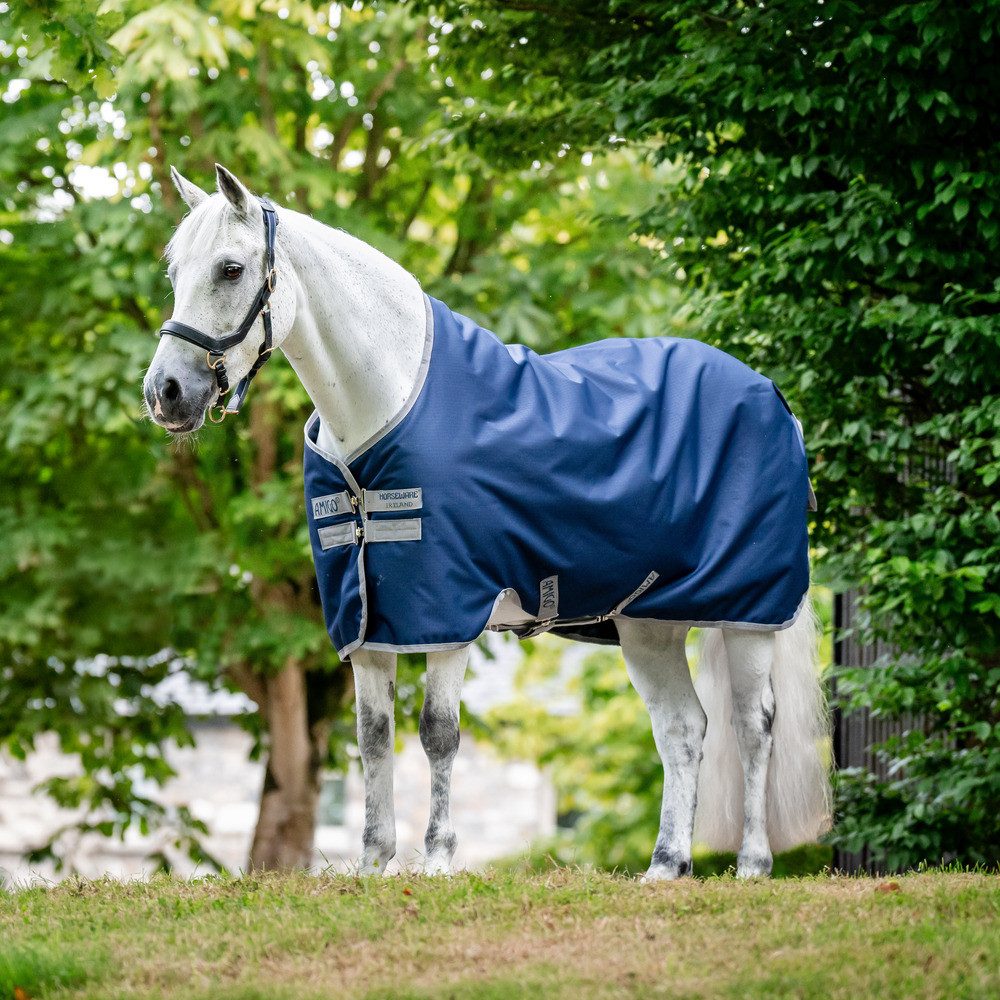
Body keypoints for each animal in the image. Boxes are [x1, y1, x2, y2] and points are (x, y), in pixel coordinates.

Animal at [143, 165, 831, 880]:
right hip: (649, 626)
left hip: (748, 613)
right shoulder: (367, 621)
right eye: (174, 269)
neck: (385, 409)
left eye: (230, 268)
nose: (166, 393)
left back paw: (752, 864)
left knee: (753, 724)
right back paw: (666, 865)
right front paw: (373, 863)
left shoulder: (448, 611)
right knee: (683, 729)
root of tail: (772, 399)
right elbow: (372, 737)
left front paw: (439, 860)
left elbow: (438, 733)